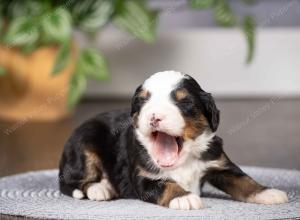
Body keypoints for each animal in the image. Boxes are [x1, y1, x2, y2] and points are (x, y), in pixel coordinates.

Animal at [59, 71, 288, 210]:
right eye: (142, 101)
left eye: (183, 101)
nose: (154, 116)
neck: (183, 160)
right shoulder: (143, 177)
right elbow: (167, 184)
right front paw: (184, 197)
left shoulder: (219, 163)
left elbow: (243, 180)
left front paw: (268, 193)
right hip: (84, 144)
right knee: (71, 182)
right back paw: (100, 188)